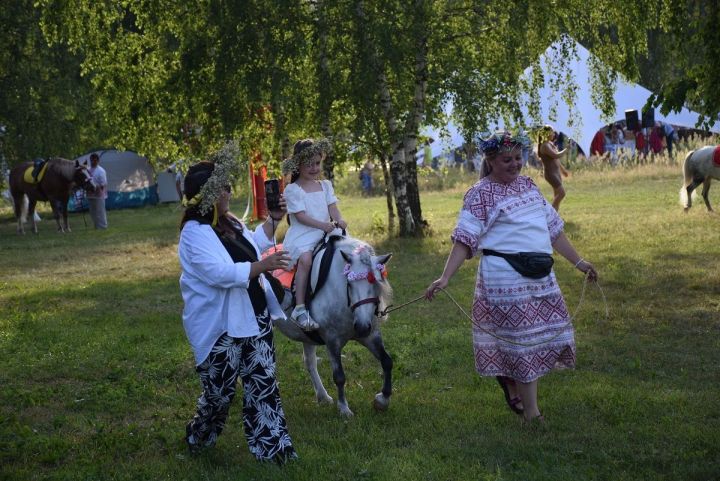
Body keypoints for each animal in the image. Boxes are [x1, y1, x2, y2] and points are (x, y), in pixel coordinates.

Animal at [274, 234, 394, 414]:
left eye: (375, 283)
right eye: (349, 284)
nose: (362, 327)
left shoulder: (371, 335)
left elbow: (387, 361)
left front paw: (382, 399)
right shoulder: (332, 340)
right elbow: (339, 376)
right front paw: (344, 408)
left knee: (309, 362)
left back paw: (323, 396)